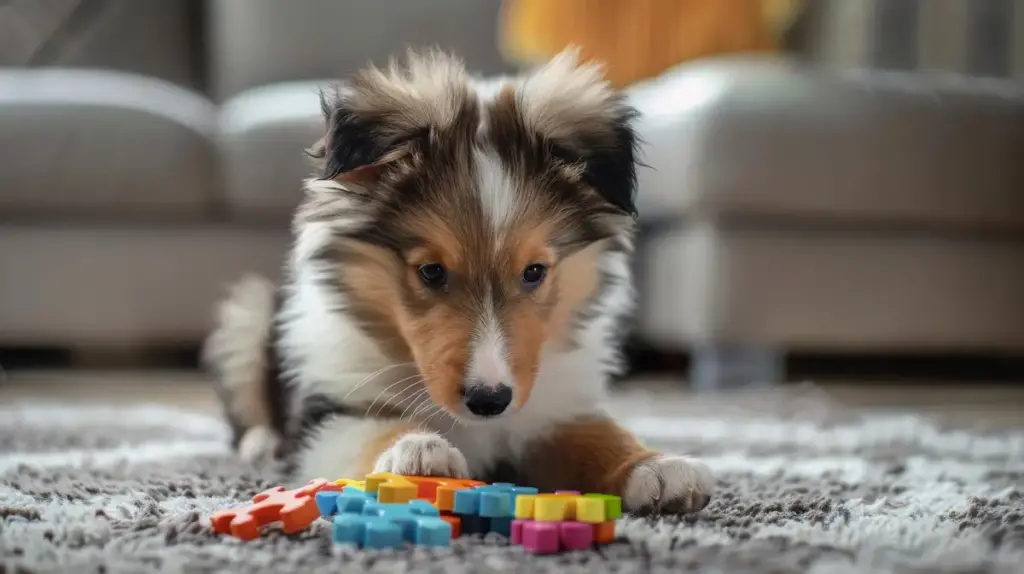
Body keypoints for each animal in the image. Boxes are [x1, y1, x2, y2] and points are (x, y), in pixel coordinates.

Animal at [199, 49, 712, 511]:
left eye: (534, 272)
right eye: (431, 271)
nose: (490, 400)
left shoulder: (552, 407)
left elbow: (599, 434)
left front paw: (658, 468)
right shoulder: (327, 412)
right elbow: (370, 429)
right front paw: (414, 451)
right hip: (249, 312)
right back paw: (260, 444)